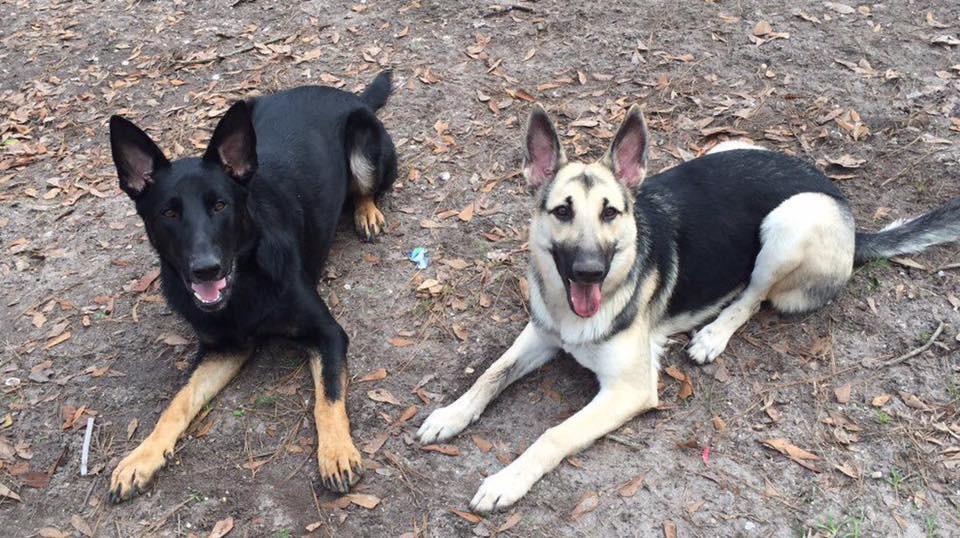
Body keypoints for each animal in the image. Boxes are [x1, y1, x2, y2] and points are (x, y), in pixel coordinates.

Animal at [109, 69, 398, 500]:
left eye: (220, 206)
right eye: (168, 213)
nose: (205, 269)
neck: (244, 285)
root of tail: (349, 95)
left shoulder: (328, 333)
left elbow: (328, 398)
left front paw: (336, 452)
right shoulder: (223, 349)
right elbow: (177, 402)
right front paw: (141, 457)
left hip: (364, 149)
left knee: (364, 190)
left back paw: (367, 213)